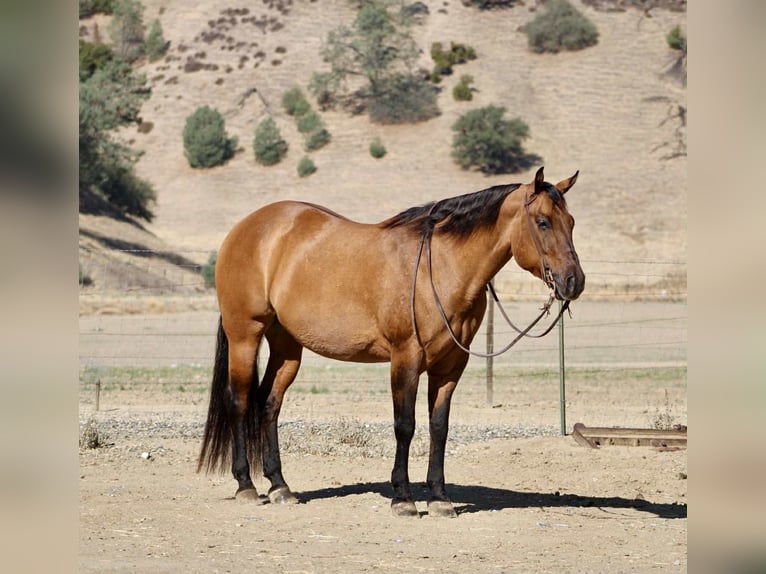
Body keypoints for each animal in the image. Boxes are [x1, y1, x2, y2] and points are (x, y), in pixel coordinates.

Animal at [197, 166, 585, 517]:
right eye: (542, 222)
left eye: (571, 221)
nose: (574, 281)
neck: (440, 268)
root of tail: (246, 228)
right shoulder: (406, 358)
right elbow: (405, 425)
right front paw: (403, 498)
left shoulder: (450, 366)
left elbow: (439, 427)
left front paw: (439, 498)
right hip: (245, 335)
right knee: (239, 401)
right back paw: (246, 486)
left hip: (287, 346)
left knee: (269, 403)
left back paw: (280, 486)